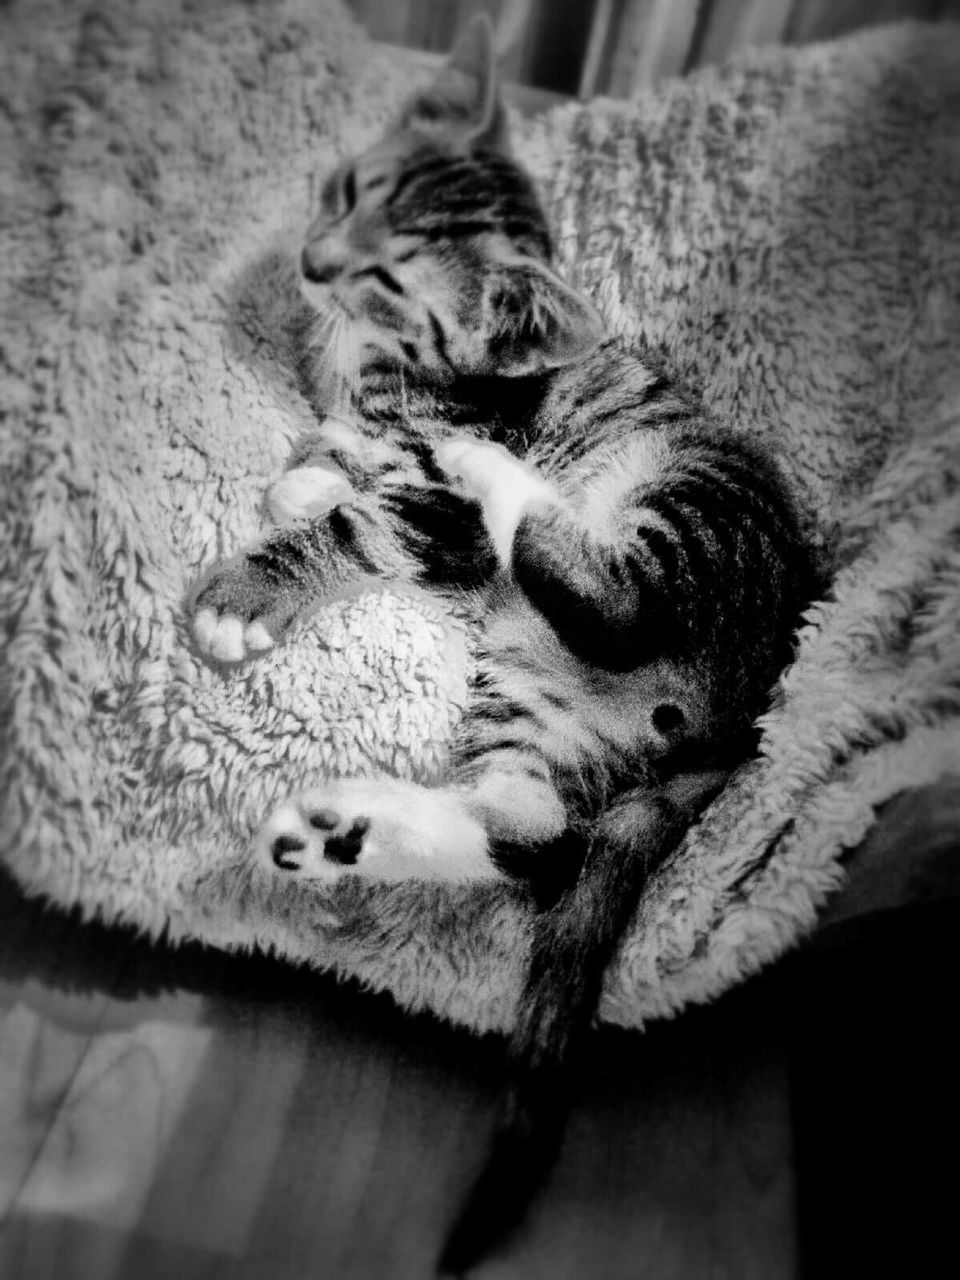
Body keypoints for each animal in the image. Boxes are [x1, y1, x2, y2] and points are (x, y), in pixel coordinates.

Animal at [192, 15, 824, 1274]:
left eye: (393, 277)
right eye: (346, 190)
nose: (313, 263)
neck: (383, 365)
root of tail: (752, 699)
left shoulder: (428, 514)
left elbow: (358, 522)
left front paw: (253, 580)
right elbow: (325, 458)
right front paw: (307, 468)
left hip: (686, 515)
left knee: (614, 599)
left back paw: (511, 485)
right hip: (530, 688)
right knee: (534, 832)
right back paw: (349, 833)